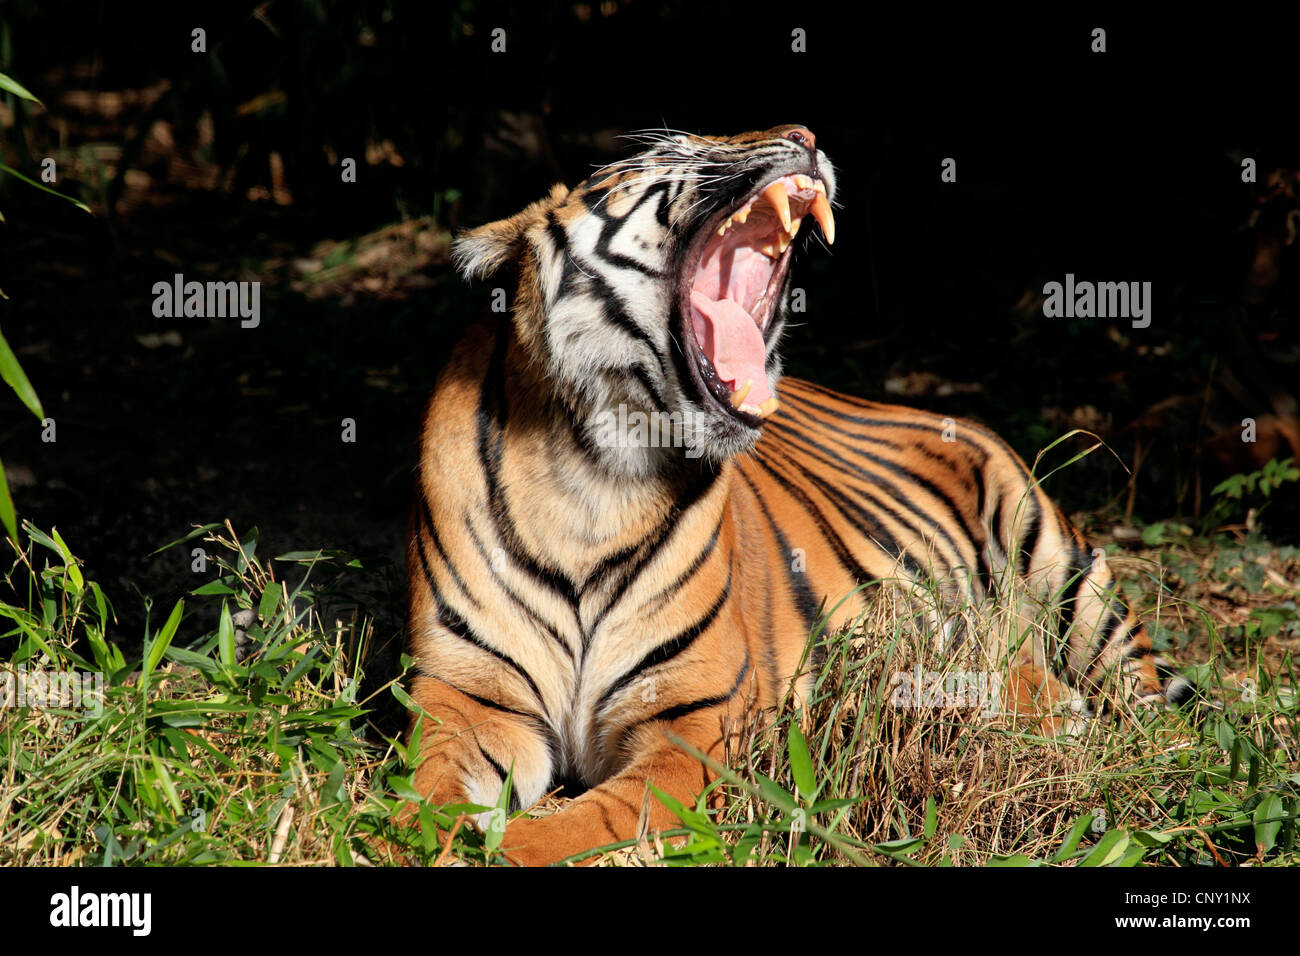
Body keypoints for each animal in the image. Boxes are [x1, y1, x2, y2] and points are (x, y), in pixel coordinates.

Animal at [404, 125, 1193, 866]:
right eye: (667, 147)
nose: (805, 136)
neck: (595, 477)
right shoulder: (467, 699)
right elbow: (424, 793)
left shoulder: (695, 723)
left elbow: (584, 823)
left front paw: (501, 849)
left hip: (1064, 569)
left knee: (1151, 707)